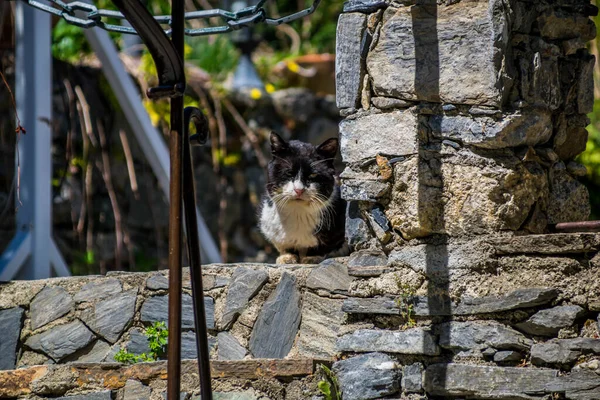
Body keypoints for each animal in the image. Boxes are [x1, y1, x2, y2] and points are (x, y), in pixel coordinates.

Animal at [258, 131, 346, 264]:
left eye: (313, 175)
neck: (297, 212)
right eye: (288, 173)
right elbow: (284, 245)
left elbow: (324, 245)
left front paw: (312, 257)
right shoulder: (270, 226)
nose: (298, 189)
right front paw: (287, 257)